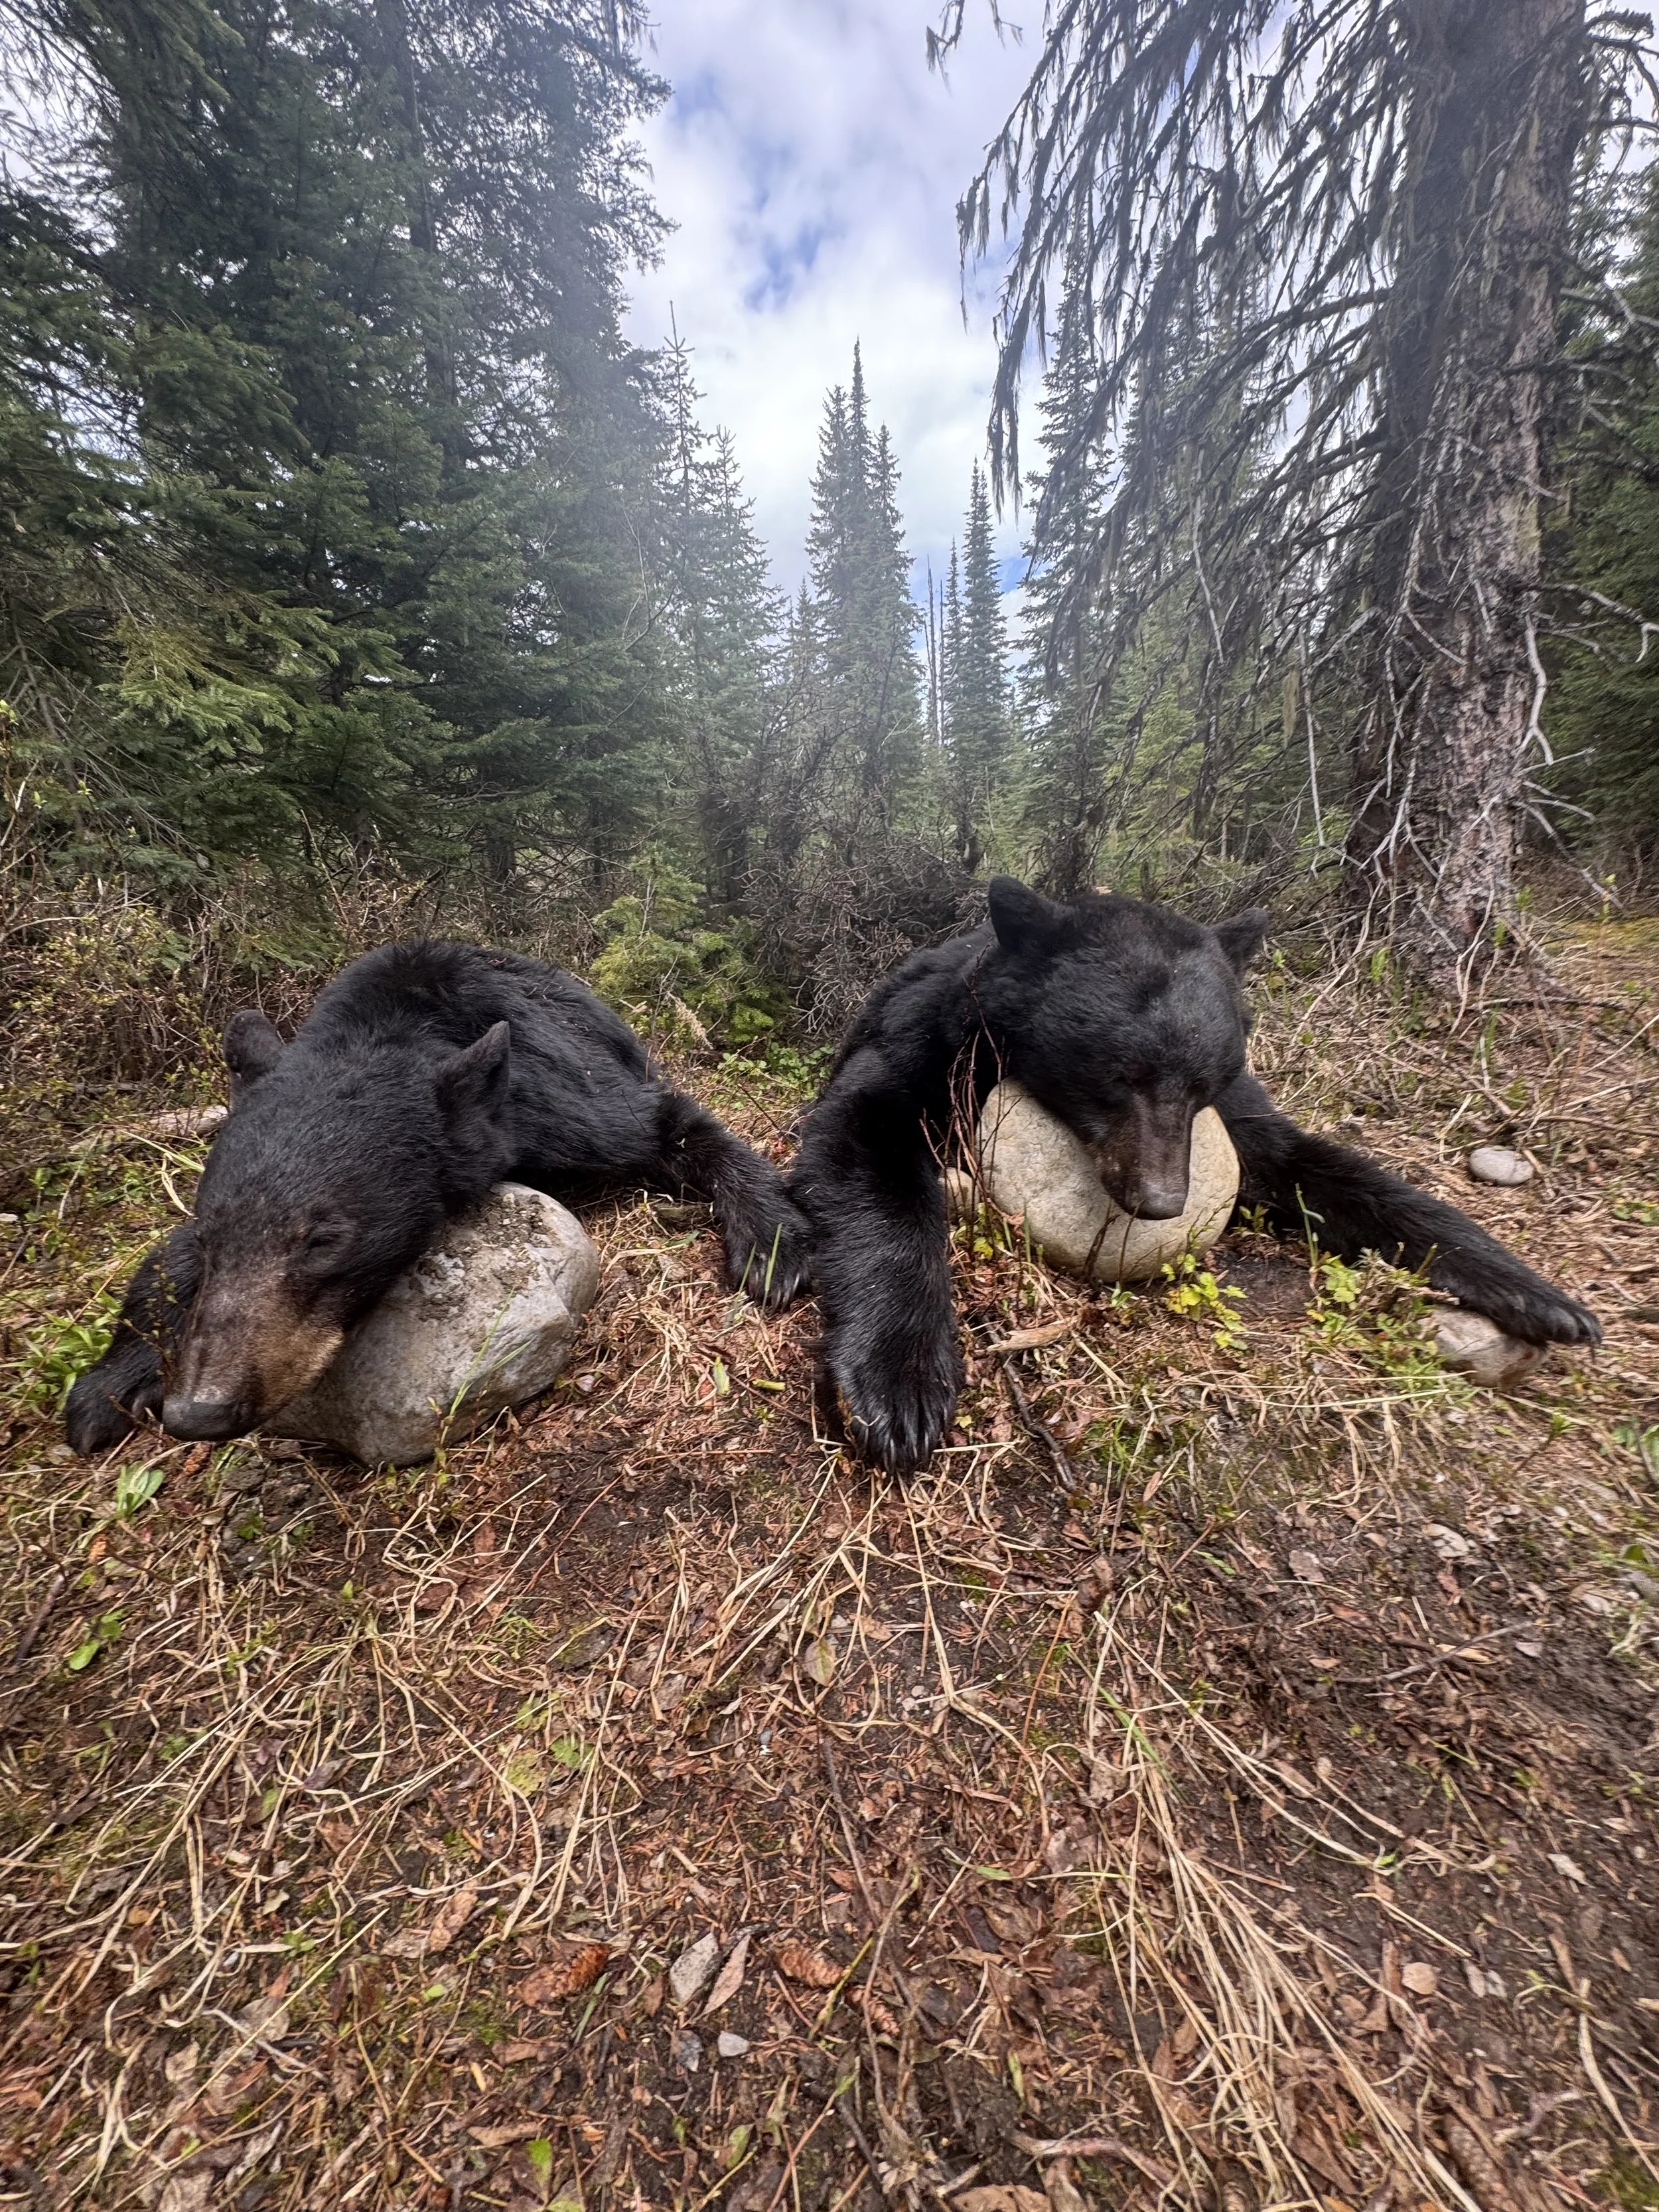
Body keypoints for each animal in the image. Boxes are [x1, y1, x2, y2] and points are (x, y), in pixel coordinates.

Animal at [65, 940, 810, 1454]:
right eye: (211, 1231)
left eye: (324, 1239)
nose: (200, 1411)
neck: (395, 1024)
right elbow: (168, 1258)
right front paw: (109, 1381)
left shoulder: (558, 1099)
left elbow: (671, 1124)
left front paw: (771, 1241)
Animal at [787, 877, 1601, 1473]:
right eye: (1117, 1073)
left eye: (1204, 1078)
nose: (1159, 1200)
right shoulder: (926, 1044)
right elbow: (861, 1139)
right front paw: (900, 1385)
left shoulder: (1235, 1116)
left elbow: (1316, 1166)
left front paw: (1538, 1294)